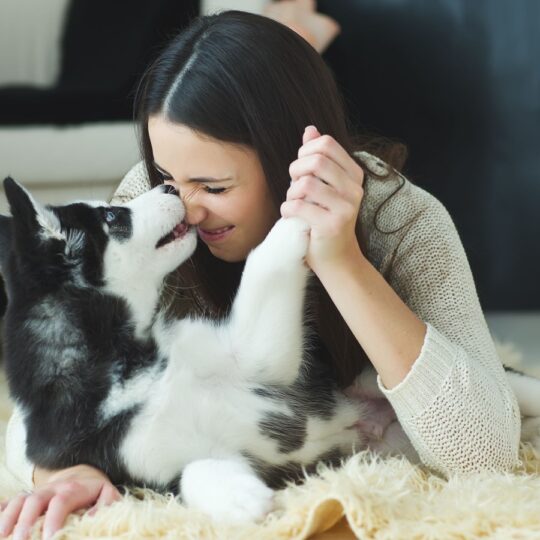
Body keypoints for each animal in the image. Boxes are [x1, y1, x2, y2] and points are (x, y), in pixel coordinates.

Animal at [0, 177, 396, 524]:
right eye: (112, 217)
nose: (169, 187)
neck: (123, 367)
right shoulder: (148, 467)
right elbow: (192, 472)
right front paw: (241, 498)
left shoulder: (247, 357)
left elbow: (261, 262)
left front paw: (308, 192)